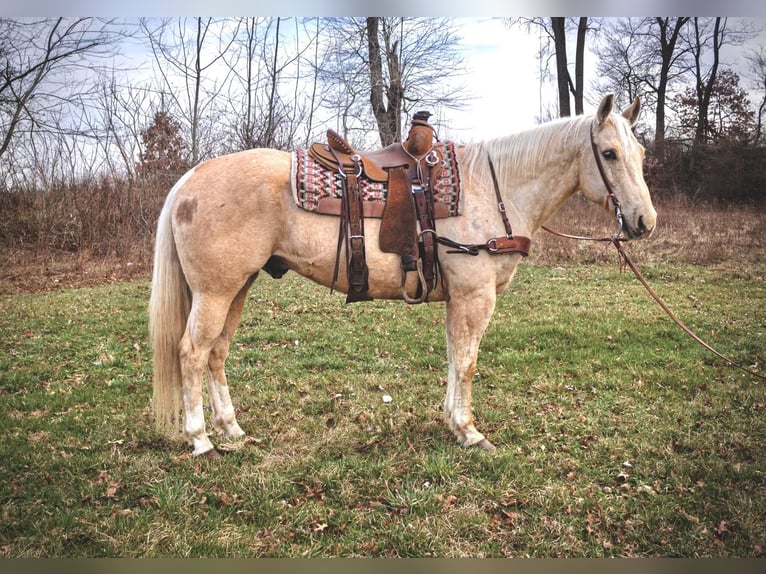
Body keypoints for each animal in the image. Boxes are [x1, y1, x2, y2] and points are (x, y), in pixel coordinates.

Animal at [150, 95, 660, 460]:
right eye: (609, 153)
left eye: (639, 152)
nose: (644, 222)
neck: (492, 188)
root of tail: (190, 179)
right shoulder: (475, 297)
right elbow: (467, 362)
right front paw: (470, 432)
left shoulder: (460, 300)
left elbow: (454, 358)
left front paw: (454, 422)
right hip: (215, 292)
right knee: (192, 353)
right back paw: (201, 440)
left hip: (238, 287)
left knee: (216, 353)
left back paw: (232, 430)